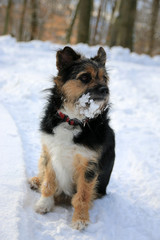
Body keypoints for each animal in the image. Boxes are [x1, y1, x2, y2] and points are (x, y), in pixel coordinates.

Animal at [28, 45, 115, 231]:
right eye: (85, 77)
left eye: (105, 79)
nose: (106, 90)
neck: (74, 119)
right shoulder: (50, 152)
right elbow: (49, 183)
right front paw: (44, 204)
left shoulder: (89, 165)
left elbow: (83, 195)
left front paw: (80, 219)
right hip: (42, 156)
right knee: (42, 173)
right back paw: (36, 180)